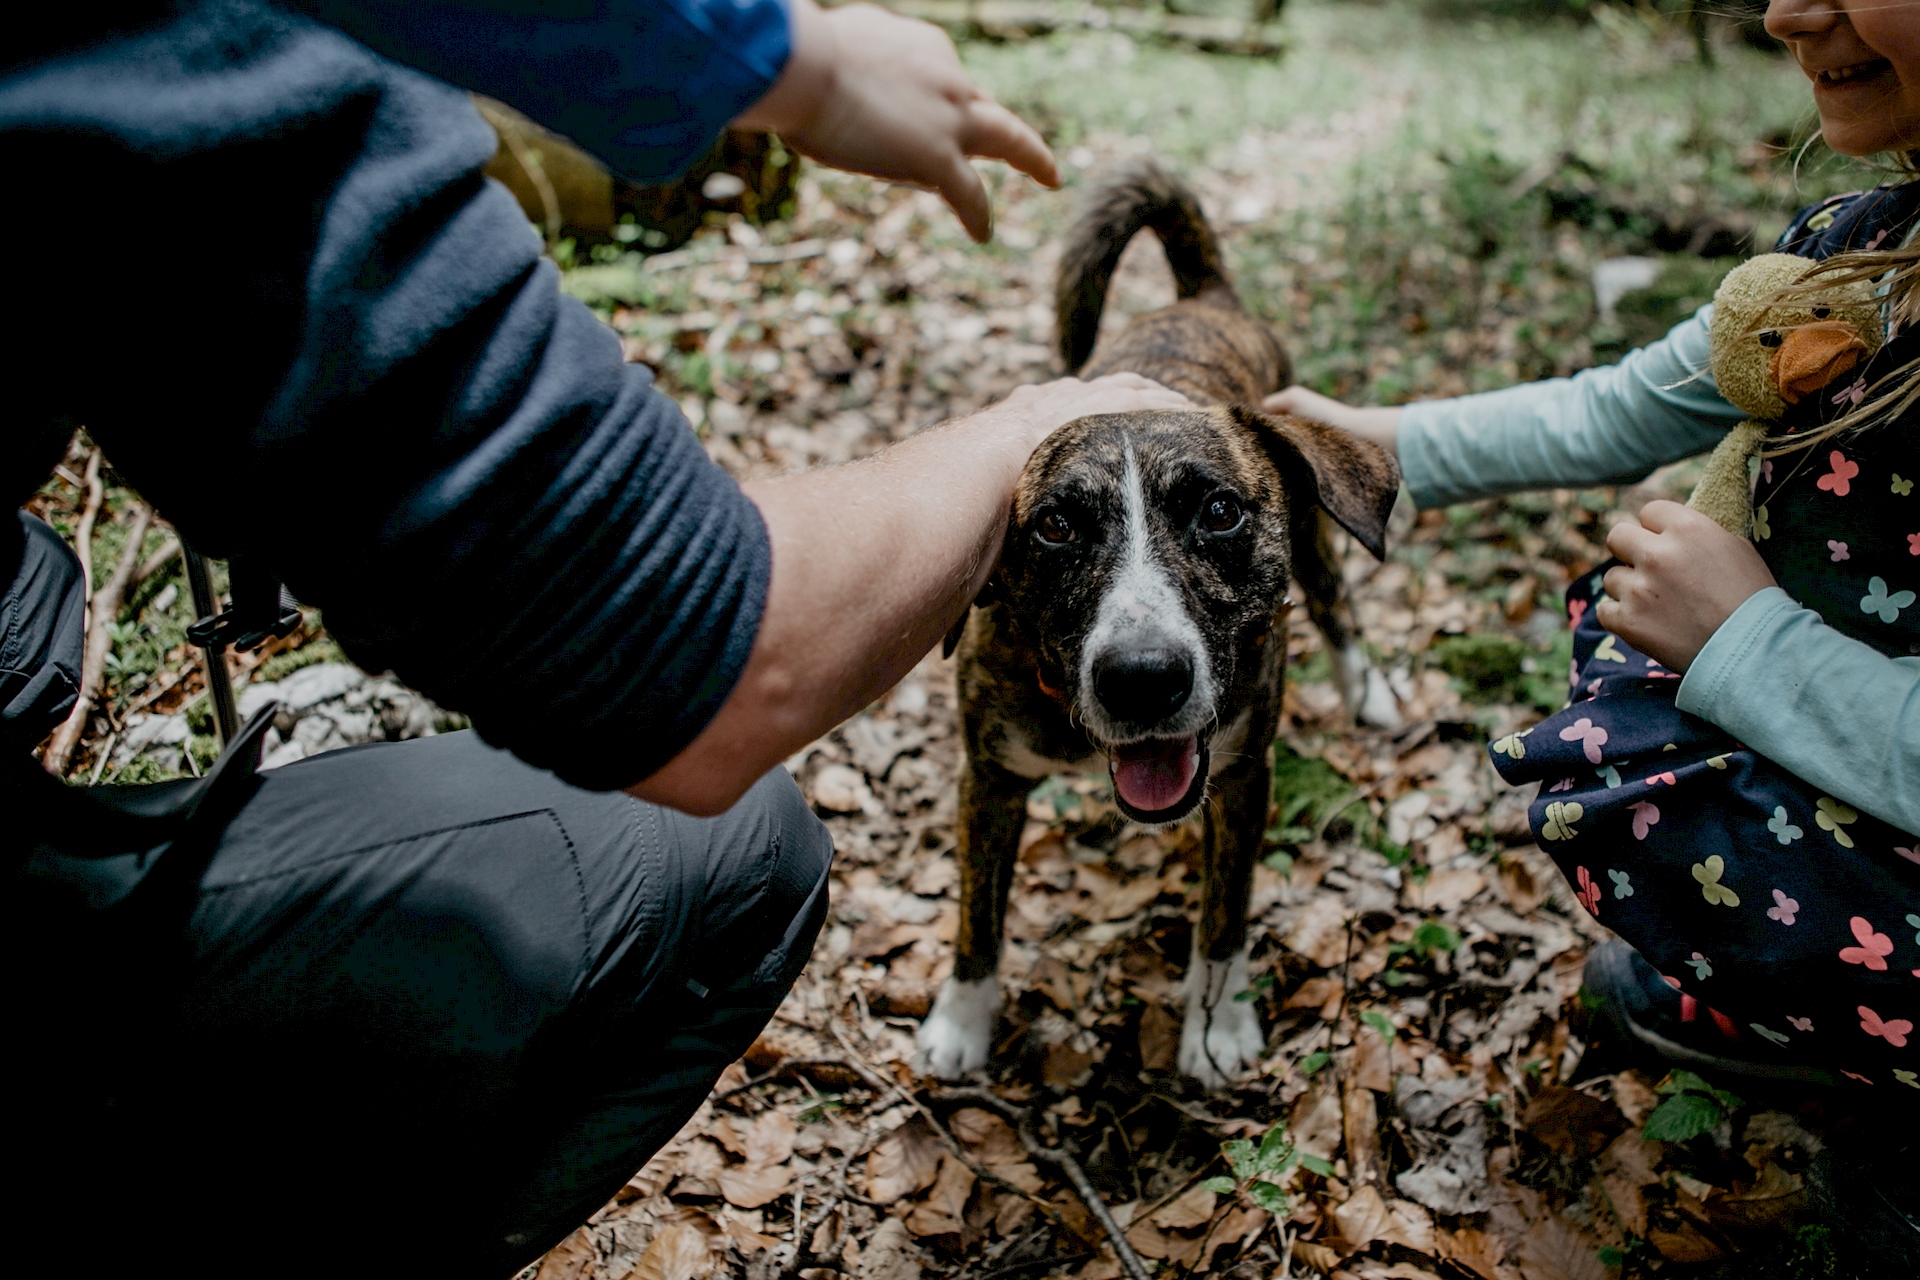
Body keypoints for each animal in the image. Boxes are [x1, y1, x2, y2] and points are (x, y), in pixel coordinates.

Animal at [913, 160, 1397, 1082]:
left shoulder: (1245, 774)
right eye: (1055, 526)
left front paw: (1215, 1026)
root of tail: (1206, 296)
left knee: (1335, 599)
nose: (1142, 680)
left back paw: (1369, 691)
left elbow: (1225, 913)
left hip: (1320, 531)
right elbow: (976, 914)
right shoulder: (987, 778)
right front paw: (962, 1019)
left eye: (1220, 511)